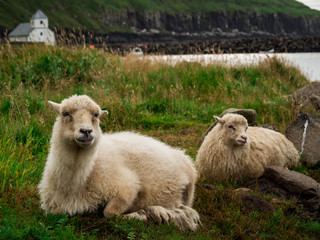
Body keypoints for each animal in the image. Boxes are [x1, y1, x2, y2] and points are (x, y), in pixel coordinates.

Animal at [38, 94, 200, 232]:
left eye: (95, 115)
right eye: (65, 113)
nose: (86, 131)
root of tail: (182, 157)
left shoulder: (127, 187)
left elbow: (110, 213)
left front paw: (139, 215)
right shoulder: (52, 204)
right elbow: (56, 212)